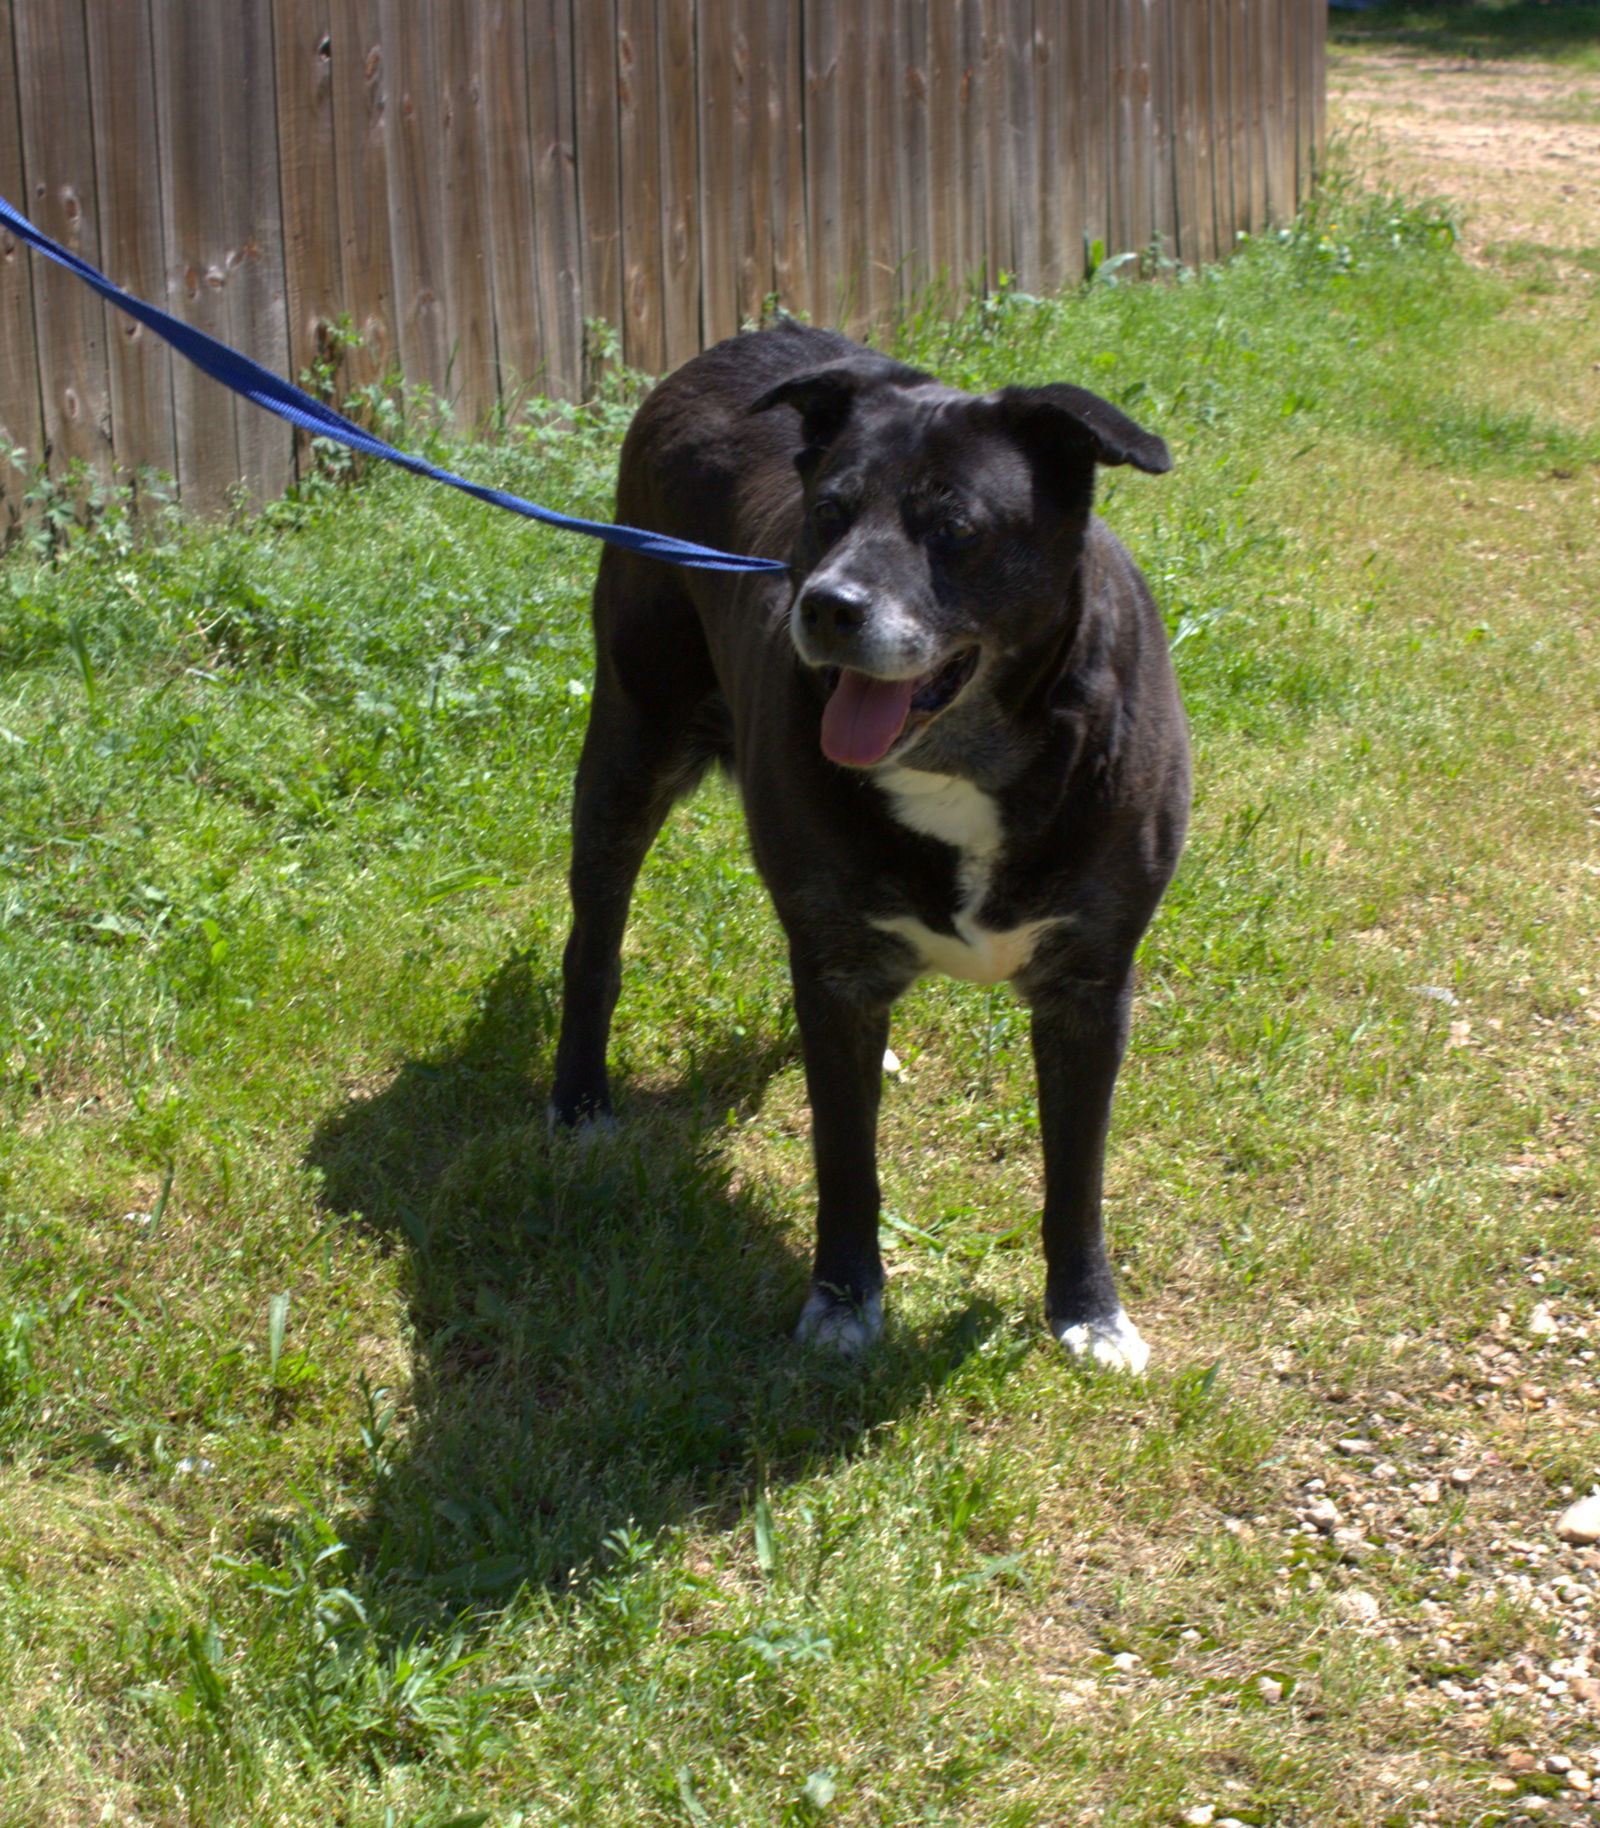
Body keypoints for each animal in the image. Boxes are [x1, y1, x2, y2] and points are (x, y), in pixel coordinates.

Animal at [552, 321, 1192, 1367]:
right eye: (828, 511)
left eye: (957, 529)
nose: (826, 606)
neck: (962, 764)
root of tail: (725, 349)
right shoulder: (841, 973)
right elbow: (845, 1154)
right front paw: (846, 1300)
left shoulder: (1090, 986)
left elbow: (1077, 1173)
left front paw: (1088, 1311)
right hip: (628, 747)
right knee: (594, 944)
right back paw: (578, 1101)